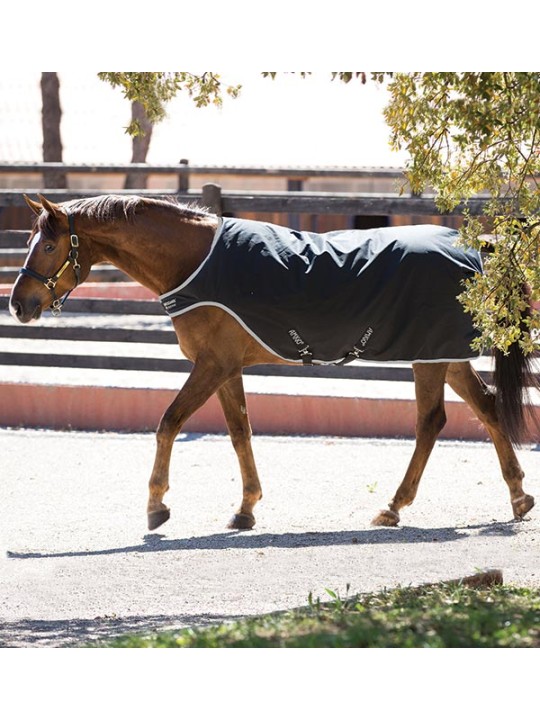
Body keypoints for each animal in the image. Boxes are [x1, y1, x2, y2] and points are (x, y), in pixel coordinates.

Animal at [8, 194, 536, 532]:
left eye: (49, 245)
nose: (18, 304)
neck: (197, 262)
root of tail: (471, 246)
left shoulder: (211, 365)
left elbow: (168, 423)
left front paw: (156, 505)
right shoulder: (226, 368)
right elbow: (239, 431)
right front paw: (246, 508)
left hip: (428, 357)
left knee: (431, 420)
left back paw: (393, 506)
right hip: (446, 355)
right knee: (487, 407)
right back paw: (517, 496)